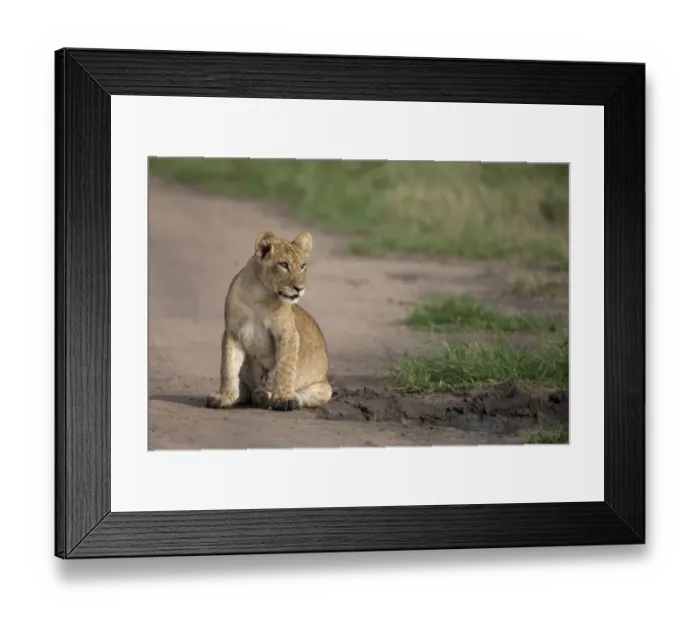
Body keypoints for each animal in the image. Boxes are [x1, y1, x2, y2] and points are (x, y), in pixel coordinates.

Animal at [205, 230, 333, 412]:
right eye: (284, 265)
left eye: (303, 266)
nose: (300, 288)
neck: (260, 295)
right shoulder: (233, 332)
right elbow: (228, 367)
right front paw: (224, 397)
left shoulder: (288, 334)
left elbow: (285, 367)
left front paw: (284, 399)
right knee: (246, 391)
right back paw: (253, 395)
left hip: (324, 388)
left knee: (301, 394)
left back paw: (268, 396)